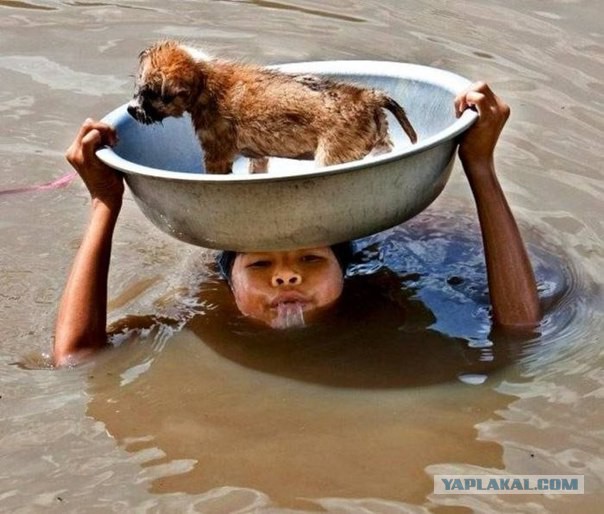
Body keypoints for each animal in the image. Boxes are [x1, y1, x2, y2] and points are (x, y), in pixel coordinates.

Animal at [127, 40, 418, 172]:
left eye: (148, 93)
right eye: (138, 88)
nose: (131, 109)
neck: (204, 79)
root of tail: (366, 95)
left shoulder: (216, 154)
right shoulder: (258, 156)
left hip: (331, 156)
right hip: (380, 140)